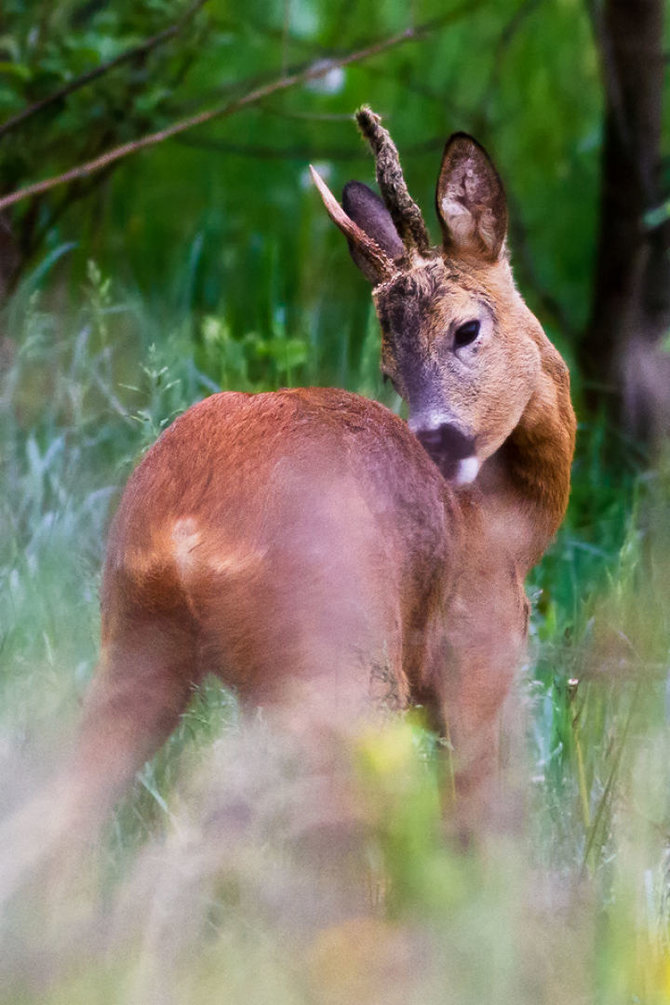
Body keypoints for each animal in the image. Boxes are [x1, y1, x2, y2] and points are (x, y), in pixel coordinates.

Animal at [66, 106, 578, 836]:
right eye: (390, 369)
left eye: (465, 330)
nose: (436, 447)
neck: (504, 524)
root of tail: (185, 532)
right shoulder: (479, 653)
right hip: (341, 660)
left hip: (136, 641)